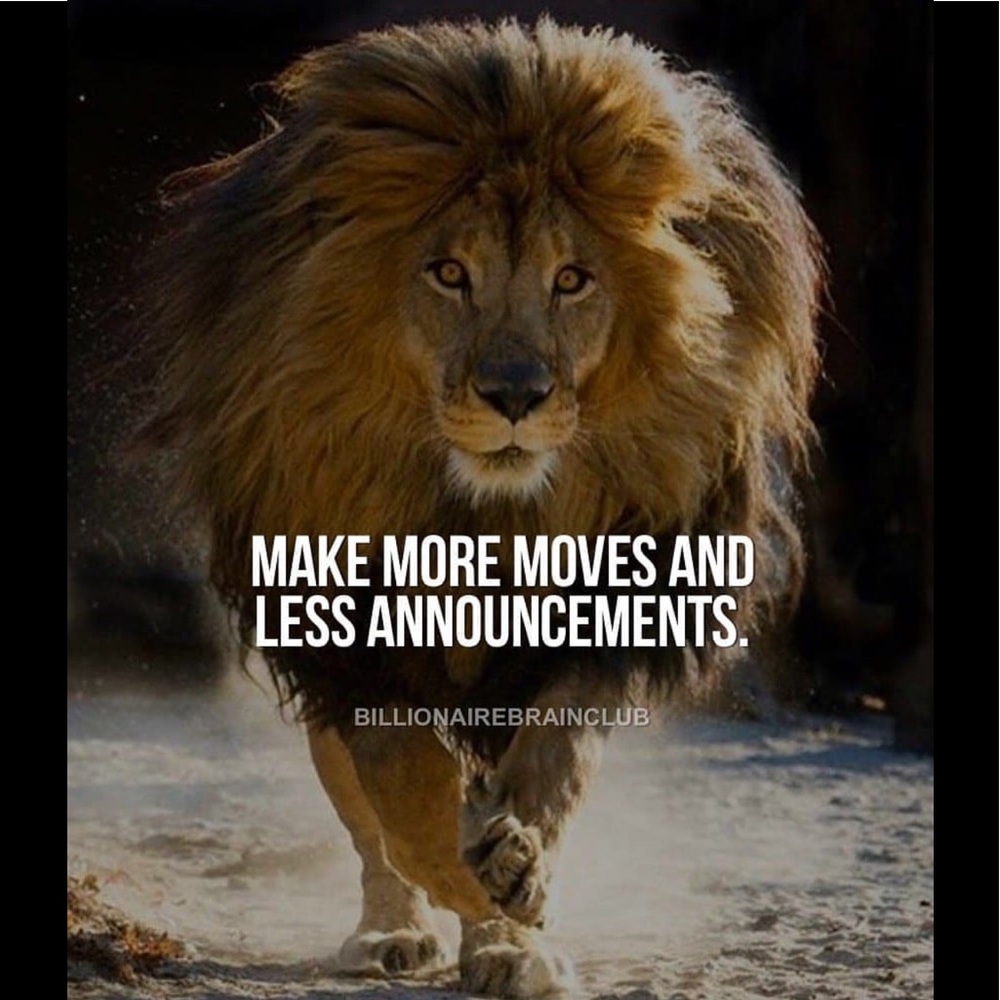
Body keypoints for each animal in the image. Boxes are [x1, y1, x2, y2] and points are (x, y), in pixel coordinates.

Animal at [141, 18, 821, 998]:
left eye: (572, 279)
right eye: (448, 273)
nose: (515, 396)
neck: (487, 513)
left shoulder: (611, 604)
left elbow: (552, 764)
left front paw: (512, 908)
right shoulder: (348, 630)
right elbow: (401, 788)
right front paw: (473, 877)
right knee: (368, 831)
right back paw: (393, 930)